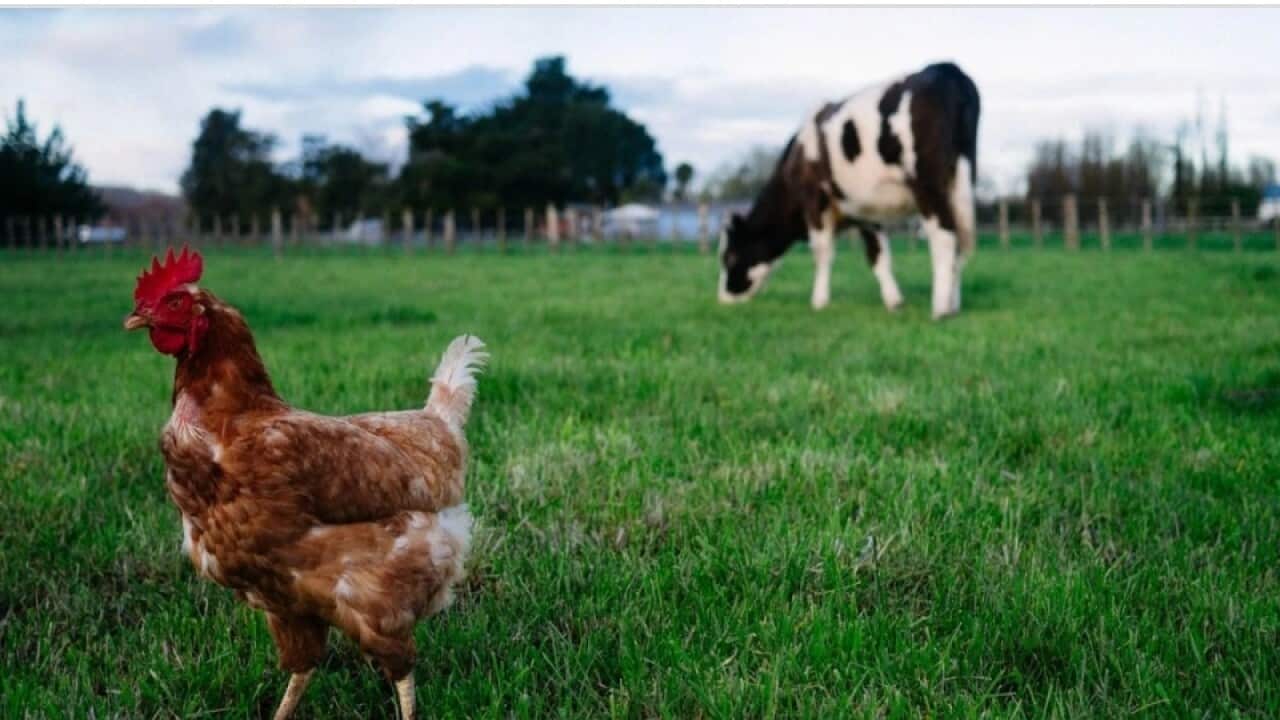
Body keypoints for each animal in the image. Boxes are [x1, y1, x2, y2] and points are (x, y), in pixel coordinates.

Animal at [717, 62, 980, 319]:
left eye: (729, 257)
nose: (723, 297)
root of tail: (947, 69)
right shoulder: (866, 210)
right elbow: (878, 255)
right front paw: (894, 301)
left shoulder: (814, 199)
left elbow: (822, 252)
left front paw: (819, 302)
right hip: (961, 181)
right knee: (959, 239)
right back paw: (953, 305)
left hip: (928, 184)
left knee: (945, 235)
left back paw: (940, 308)